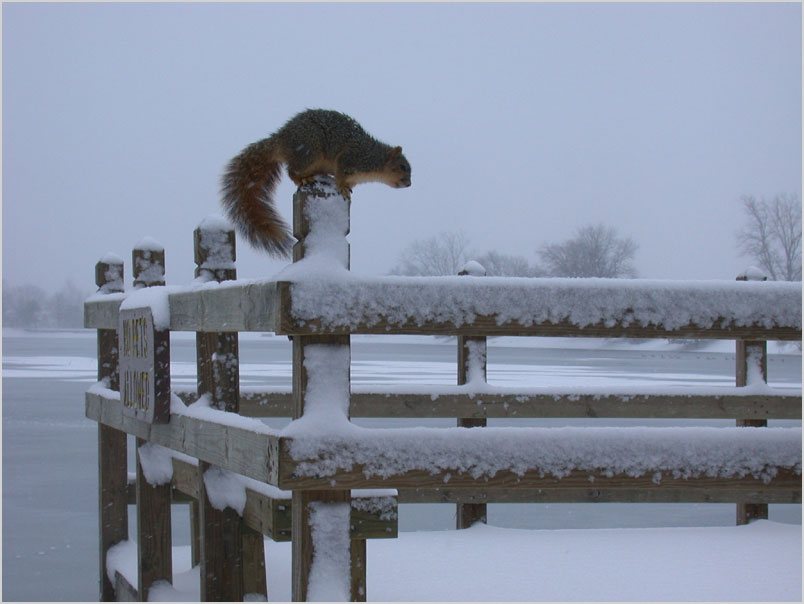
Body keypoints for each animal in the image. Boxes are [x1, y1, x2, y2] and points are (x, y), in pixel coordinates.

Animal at [220, 109, 412, 256]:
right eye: (402, 166)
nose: (409, 184)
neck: (374, 159)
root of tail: (282, 139)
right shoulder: (349, 160)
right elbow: (341, 175)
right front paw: (342, 188)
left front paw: (348, 189)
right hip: (309, 150)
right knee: (292, 171)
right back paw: (303, 178)